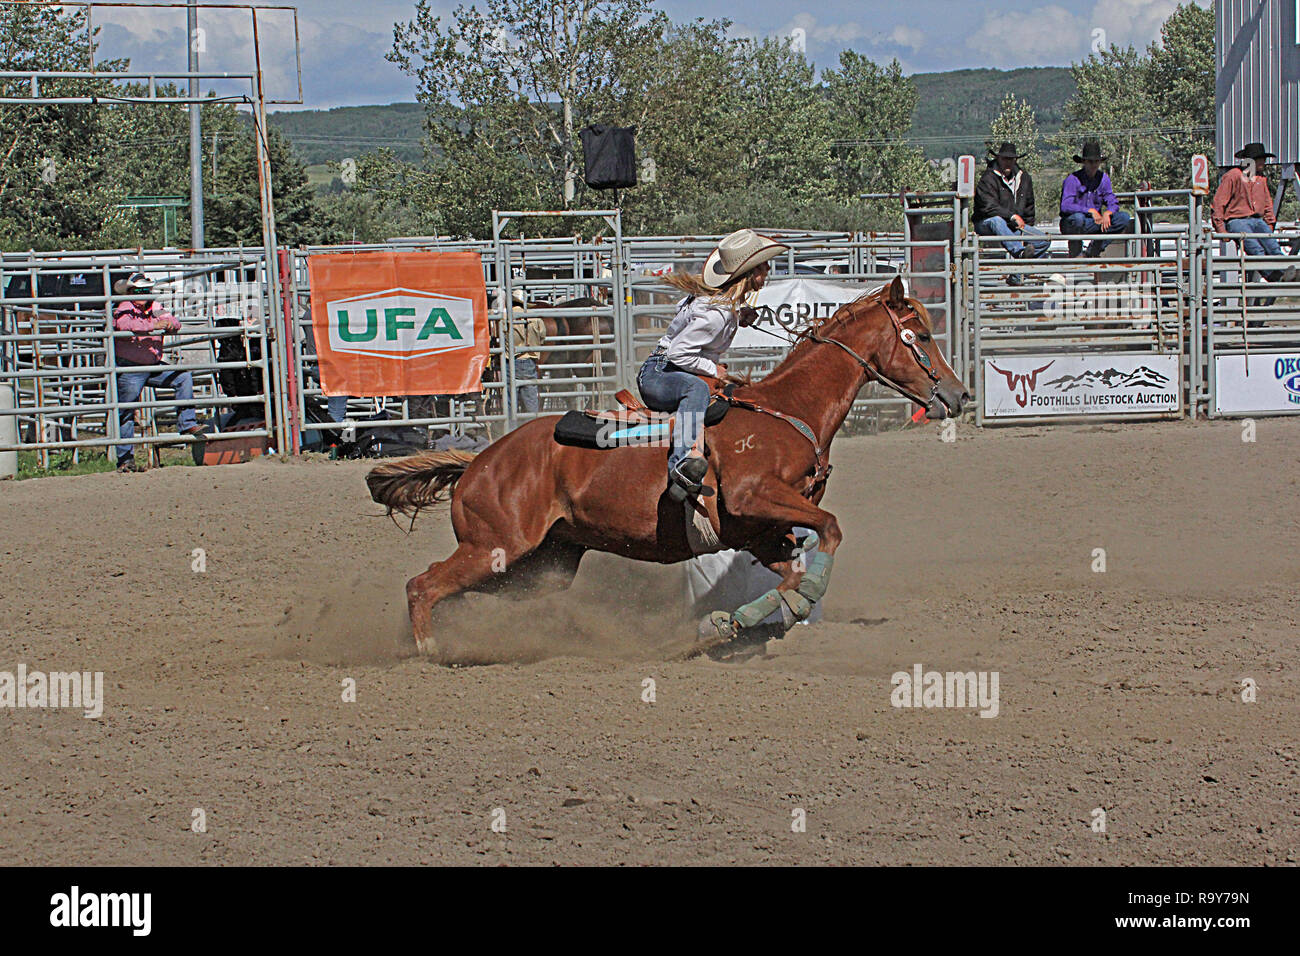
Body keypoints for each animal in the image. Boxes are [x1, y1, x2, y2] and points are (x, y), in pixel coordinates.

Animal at [366, 280, 967, 660]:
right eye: (922, 335)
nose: (958, 395)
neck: (788, 410)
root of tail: (480, 462)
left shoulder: (760, 532)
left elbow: (795, 574)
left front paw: (734, 622)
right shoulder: (752, 498)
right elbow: (831, 530)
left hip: (542, 565)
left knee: (453, 592)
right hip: (496, 547)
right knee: (423, 585)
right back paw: (431, 650)